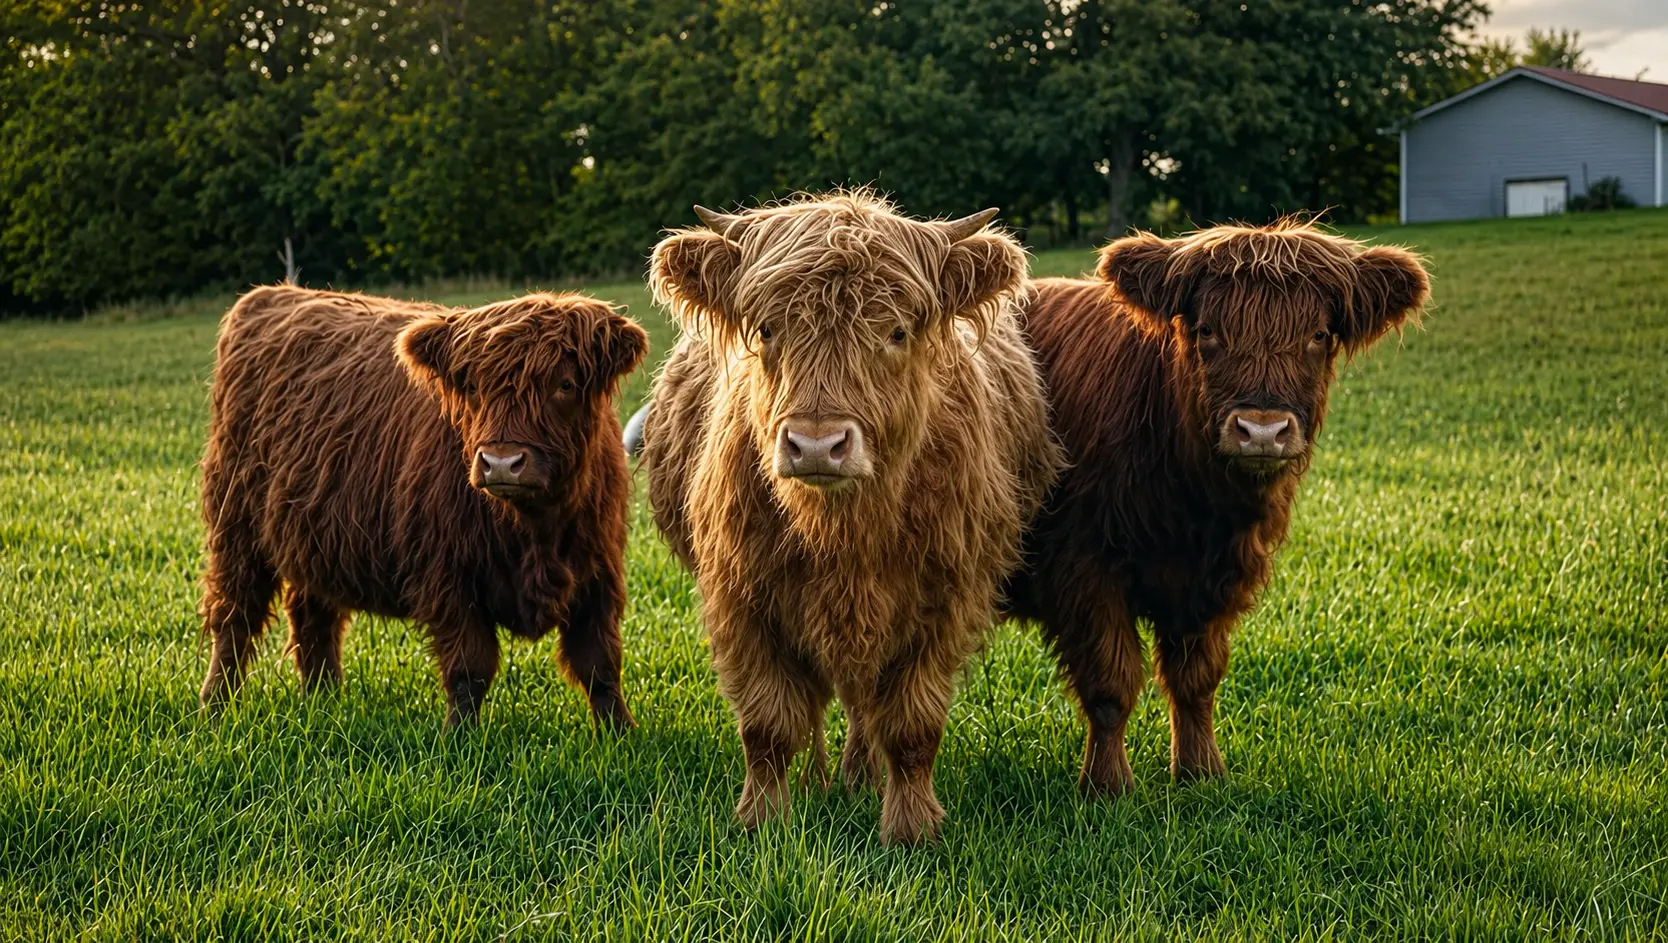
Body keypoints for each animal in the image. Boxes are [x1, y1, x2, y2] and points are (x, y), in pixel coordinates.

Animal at [197, 286, 648, 727]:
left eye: (565, 385)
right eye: (472, 388)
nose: (502, 462)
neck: (533, 530)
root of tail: (272, 295)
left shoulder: (599, 573)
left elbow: (599, 664)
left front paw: (619, 733)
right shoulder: (449, 576)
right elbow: (470, 668)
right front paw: (461, 739)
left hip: (314, 532)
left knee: (313, 617)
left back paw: (325, 700)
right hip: (236, 527)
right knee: (235, 619)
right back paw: (216, 706)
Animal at [638, 192, 1062, 844]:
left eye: (897, 331)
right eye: (768, 328)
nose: (816, 445)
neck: (842, 534)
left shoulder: (945, 601)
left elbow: (912, 727)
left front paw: (911, 829)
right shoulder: (742, 598)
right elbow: (767, 727)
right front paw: (762, 821)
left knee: (866, 706)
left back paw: (859, 777)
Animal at [1004, 221, 1430, 795]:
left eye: (1318, 335)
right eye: (1208, 330)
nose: (1262, 430)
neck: (1195, 509)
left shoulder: (1218, 575)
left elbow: (1196, 681)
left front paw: (1201, 772)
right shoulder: (1083, 567)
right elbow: (1110, 686)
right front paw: (1108, 786)